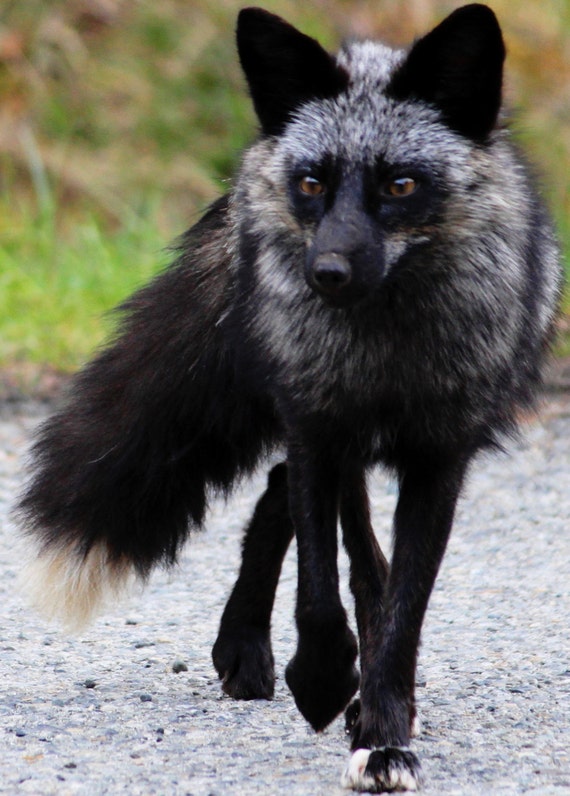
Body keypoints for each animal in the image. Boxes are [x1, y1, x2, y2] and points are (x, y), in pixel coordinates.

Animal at [17, 4, 562, 792]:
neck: (382, 354)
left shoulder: (439, 459)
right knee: (309, 521)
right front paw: (325, 679)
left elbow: (401, 611)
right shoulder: (317, 425)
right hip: (320, 430)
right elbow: (324, 589)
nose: (325, 272)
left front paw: (385, 732)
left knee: (306, 516)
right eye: (311, 183)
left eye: (400, 186)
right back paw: (250, 648)